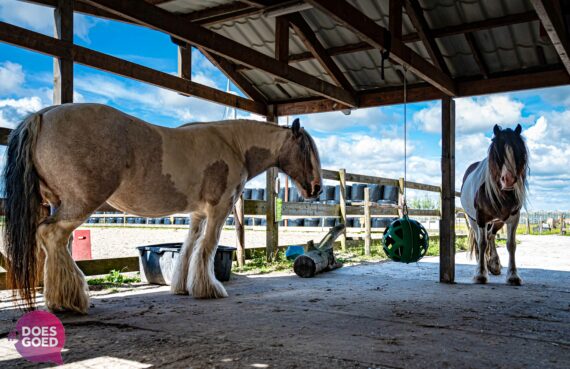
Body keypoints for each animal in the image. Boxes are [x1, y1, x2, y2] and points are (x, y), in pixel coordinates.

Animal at [4, 102, 322, 312]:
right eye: (305, 149)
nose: (317, 189)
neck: (233, 144)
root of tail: (41, 116)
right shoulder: (218, 209)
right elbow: (207, 247)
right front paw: (209, 289)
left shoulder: (198, 214)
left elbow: (189, 247)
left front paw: (183, 286)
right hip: (78, 205)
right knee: (51, 237)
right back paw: (70, 300)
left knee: (52, 243)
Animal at [460, 123, 524, 284]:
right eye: (497, 153)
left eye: (518, 151)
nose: (508, 180)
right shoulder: (481, 217)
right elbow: (481, 243)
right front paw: (480, 274)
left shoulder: (513, 218)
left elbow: (511, 244)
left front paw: (513, 275)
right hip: (473, 220)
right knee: (481, 239)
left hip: (498, 221)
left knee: (491, 236)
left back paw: (494, 265)